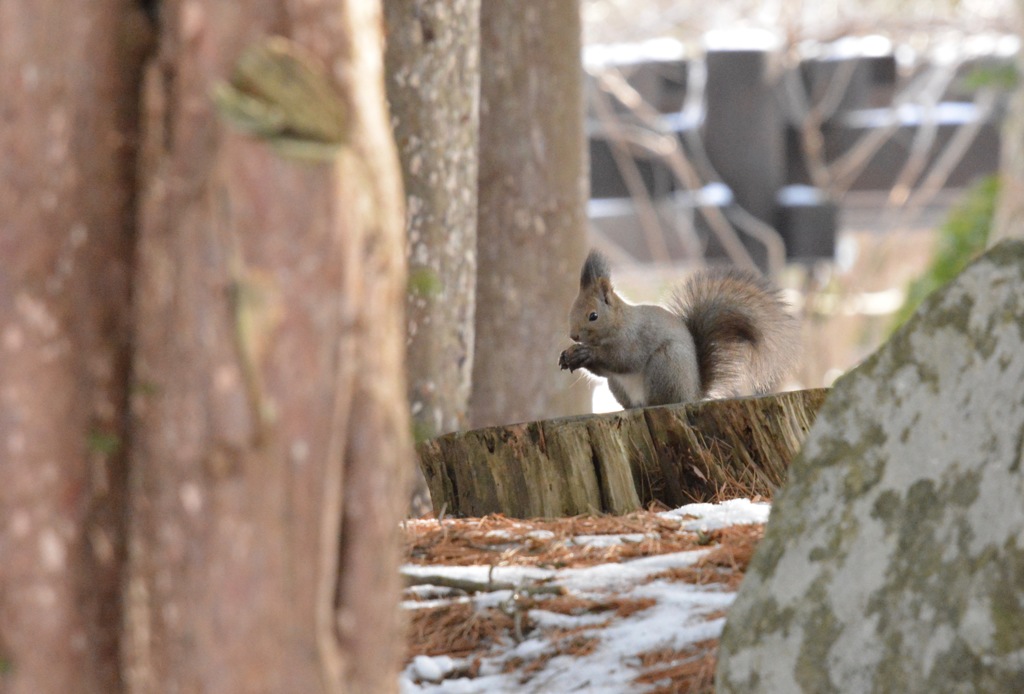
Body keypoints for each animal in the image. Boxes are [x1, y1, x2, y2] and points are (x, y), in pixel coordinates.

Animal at [561, 249, 798, 411]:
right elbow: (605, 370)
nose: (573, 336)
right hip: (618, 385)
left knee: (661, 399)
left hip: (665, 365)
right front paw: (569, 356)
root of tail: (692, 394)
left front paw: (588, 353)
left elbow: (624, 359)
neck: (619, 322)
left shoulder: (635, 337)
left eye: (593, 316)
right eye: (571, 310)